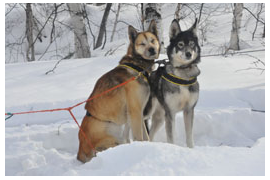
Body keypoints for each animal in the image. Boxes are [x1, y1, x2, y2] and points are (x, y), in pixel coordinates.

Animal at [77, 20, 159, 162]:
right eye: (142, 43)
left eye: (152, 40)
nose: (152, 49)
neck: (138, 66)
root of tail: (80, 151)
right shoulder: (135, 111)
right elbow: (139, 137)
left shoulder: (139, 113)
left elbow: (146, 137)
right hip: (113, 138)